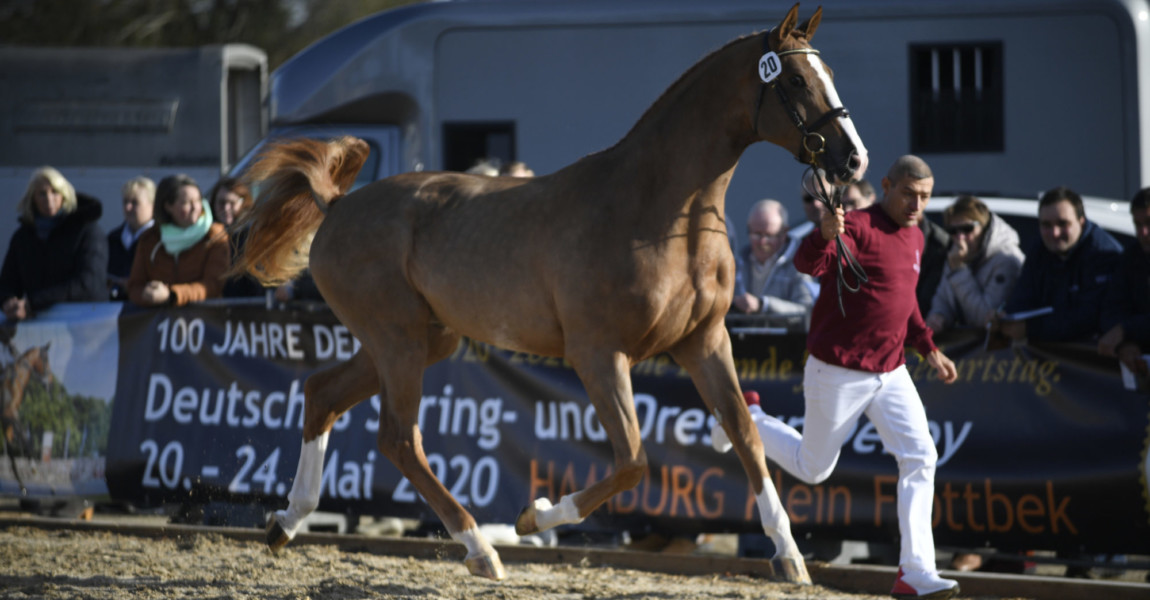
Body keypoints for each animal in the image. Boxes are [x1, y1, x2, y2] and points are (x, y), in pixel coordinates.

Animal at [238, 4, 864, 581]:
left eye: (830, 71)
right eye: (795, 80)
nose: (853, 158)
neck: (661, 212)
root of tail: (337, 207)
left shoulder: (704, 342)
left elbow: (745, 436)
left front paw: (789, 556)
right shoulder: (598, 354)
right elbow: (632, 461)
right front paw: (534, 514)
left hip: (421, 340)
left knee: (322, 393)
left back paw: (285, 522)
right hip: (398, 343)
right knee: (398, 439)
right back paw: (479, 548)